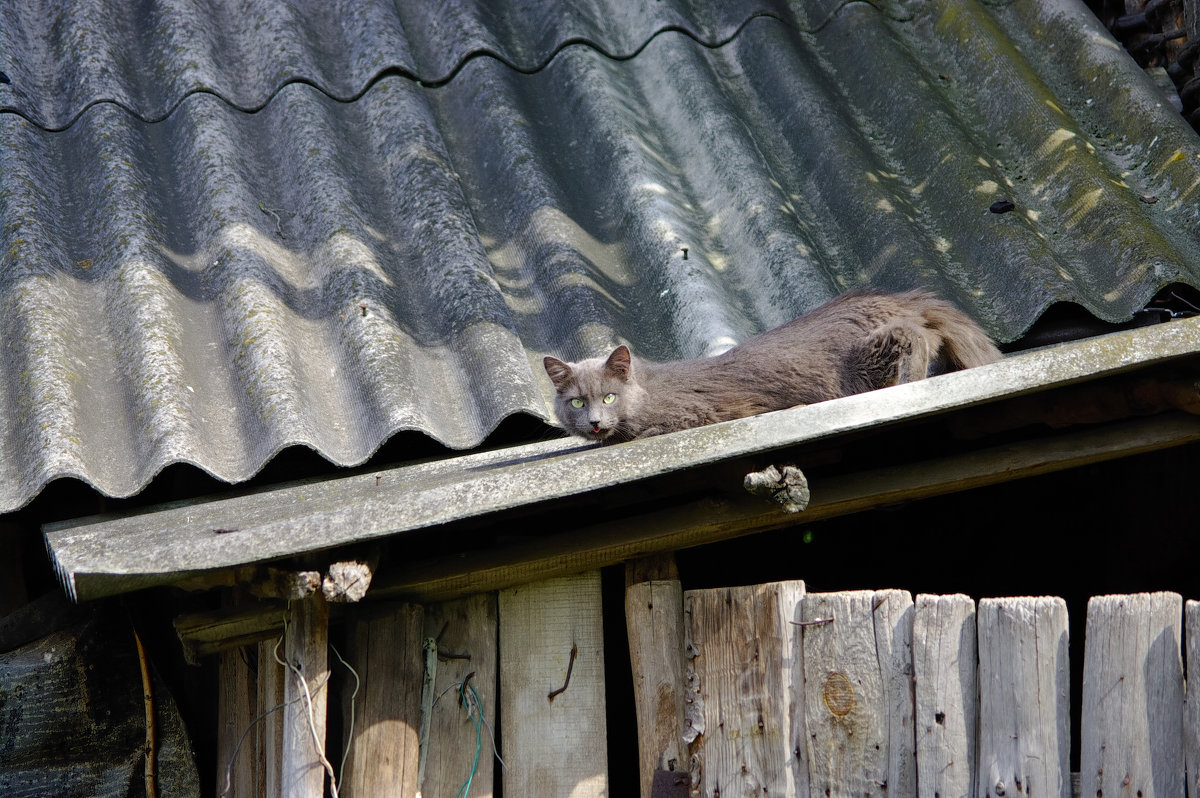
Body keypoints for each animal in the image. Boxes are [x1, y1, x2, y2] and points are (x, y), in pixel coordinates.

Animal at [549, 289, 998, 441]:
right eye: (576, 403)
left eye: (609, 397)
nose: (593, 422)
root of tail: (896, 297)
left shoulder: (695, 414)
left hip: (867, 358)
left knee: (916, 335)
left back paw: (913, 379)